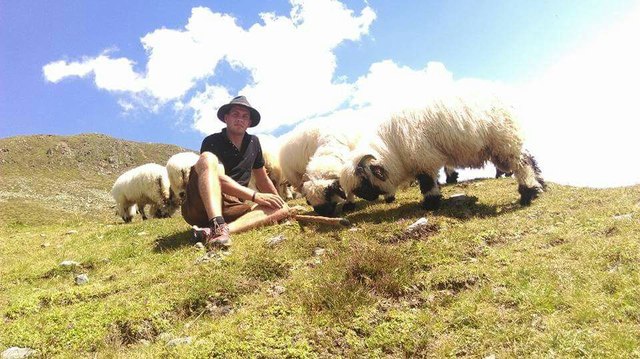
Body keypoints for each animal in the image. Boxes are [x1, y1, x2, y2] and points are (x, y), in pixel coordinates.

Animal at [340, 90, 544, 211]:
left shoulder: (424, 159)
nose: (365, 198)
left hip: (505, 142)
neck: (393, 147)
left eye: (364, 180)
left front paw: (430, 204)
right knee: (529, 158)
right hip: (503, 148)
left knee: (523, 164)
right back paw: (540, 187)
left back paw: (528, 192)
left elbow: (428, 183)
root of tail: (507, 105)